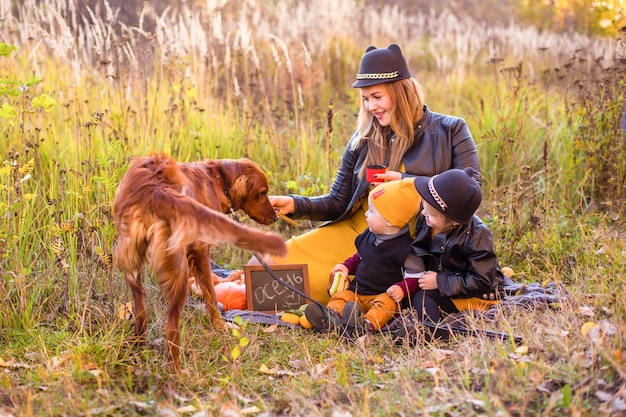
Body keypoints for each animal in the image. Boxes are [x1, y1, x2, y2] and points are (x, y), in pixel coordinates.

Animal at [112, 153, 288, 370]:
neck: (219, 179)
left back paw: (137, 351)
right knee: (171, 328)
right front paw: (219, 326)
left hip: (133, 265)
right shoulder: (201, 249)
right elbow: (210, 294)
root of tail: (154, 187)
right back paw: (176, 371)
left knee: (141, 314)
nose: (275, 218)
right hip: (177, 271)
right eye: (262, 193)